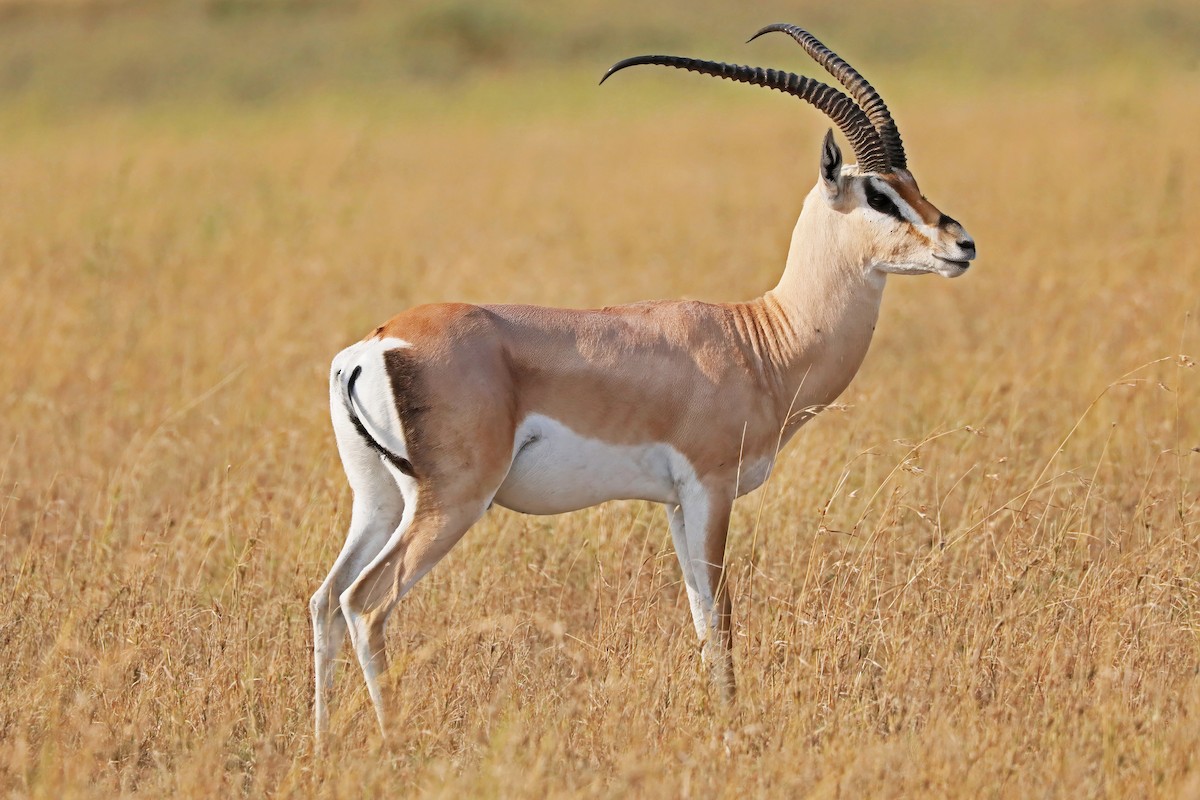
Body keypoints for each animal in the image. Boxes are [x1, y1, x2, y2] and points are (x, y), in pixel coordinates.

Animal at [311, 23, 976, 742]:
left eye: (912, 182)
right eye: (878, 194)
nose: (961, 244)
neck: (761, 338)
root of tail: (377, 343)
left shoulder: (676, 503)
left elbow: (700, 617)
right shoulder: (710, 489)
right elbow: (722, 615)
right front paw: (733, 729)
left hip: (380, 501)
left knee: (326, 599)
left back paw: (322, 742)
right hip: (453, 501)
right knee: (366, 603)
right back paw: (392, 739)